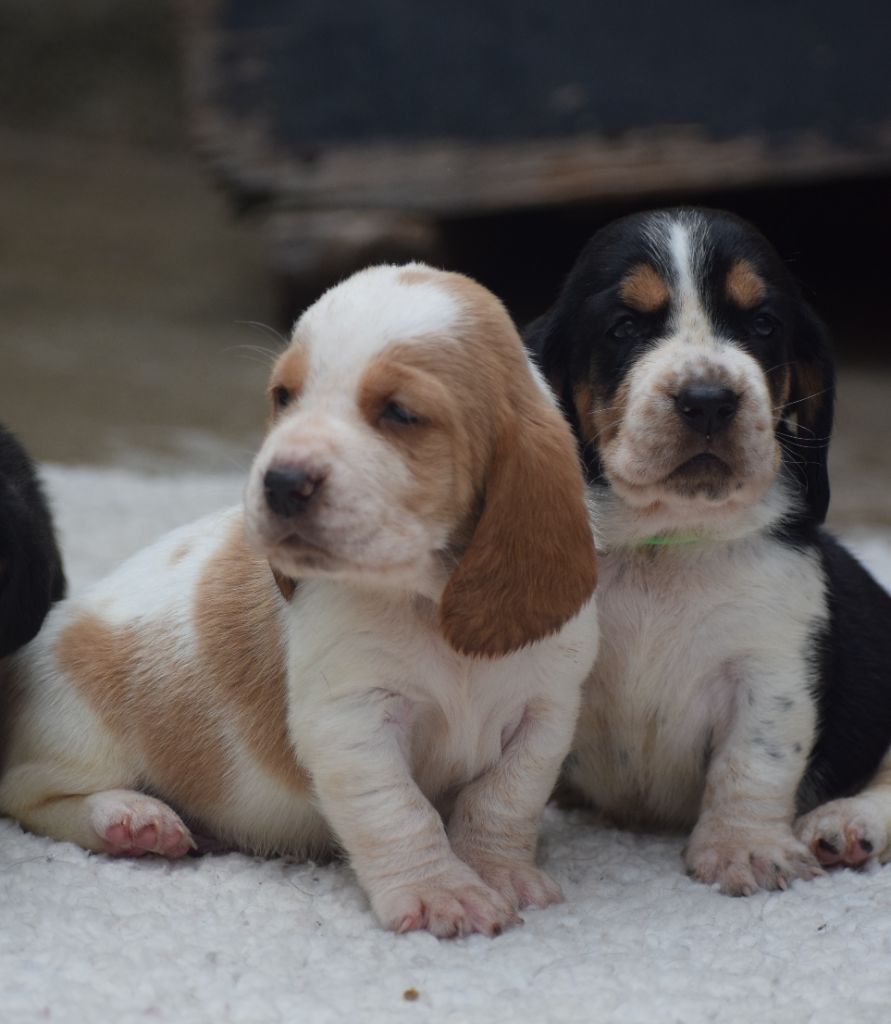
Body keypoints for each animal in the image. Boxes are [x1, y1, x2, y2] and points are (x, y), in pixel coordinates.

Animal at [528, 209, 891, 897]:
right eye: (624, 327)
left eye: (762, 324)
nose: (708, 400)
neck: (665, 541)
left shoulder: (770, 669)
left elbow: (752, 764)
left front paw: (743, 850)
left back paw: (847, 824)